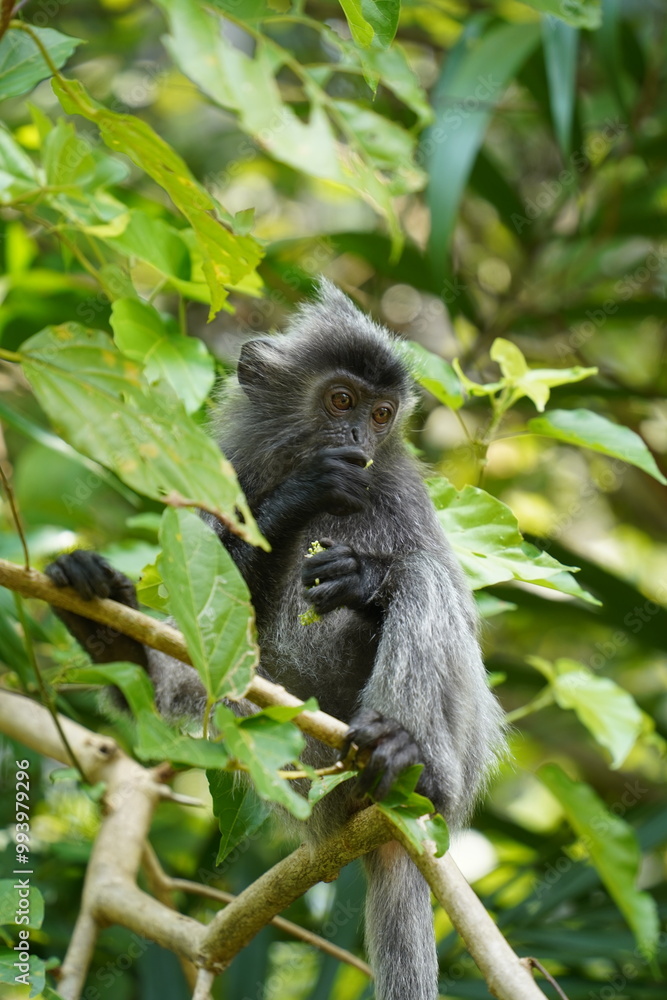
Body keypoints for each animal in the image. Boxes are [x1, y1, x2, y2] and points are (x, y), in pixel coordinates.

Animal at [46, 279, 505, 1000]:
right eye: (341, 401)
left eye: (382, 414)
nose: (357, 437)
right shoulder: (229, 476)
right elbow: (215, 618)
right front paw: (298, 496)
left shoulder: (398, 490)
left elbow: (452, 602)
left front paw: (364, 578)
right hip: (298, 769)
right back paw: (112, 641)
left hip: (450, 753)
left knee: (424, 580)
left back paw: (408, 759)